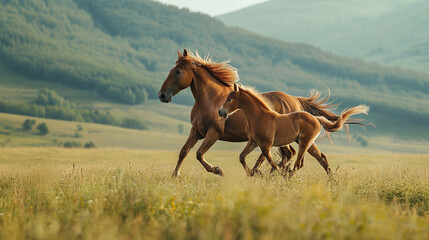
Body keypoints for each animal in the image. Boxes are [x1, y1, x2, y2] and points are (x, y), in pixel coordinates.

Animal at [157, 48, 348, 176]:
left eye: (177, 71)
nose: (162, 95)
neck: (211, 99)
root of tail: (295, 99)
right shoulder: (196, 131)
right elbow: (184, 151)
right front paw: (175, 176)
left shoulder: (214, 132)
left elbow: (198, 154)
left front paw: (217, 170)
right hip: (295, 139)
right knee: (312, 156)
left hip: (294, 139)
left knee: (301, 155)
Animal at [217, 84, 368, 176]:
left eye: (229, 99)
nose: (220, 112)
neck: (260, 116)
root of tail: (316, 118)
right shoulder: (253, 142)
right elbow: (242, 157)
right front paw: (252, 174)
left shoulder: (266, 145)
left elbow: (271, 162)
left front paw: (271, 174)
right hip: (306, 143)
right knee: (318, 158)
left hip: (304, 143)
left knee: (299, 163)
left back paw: (287, 177)